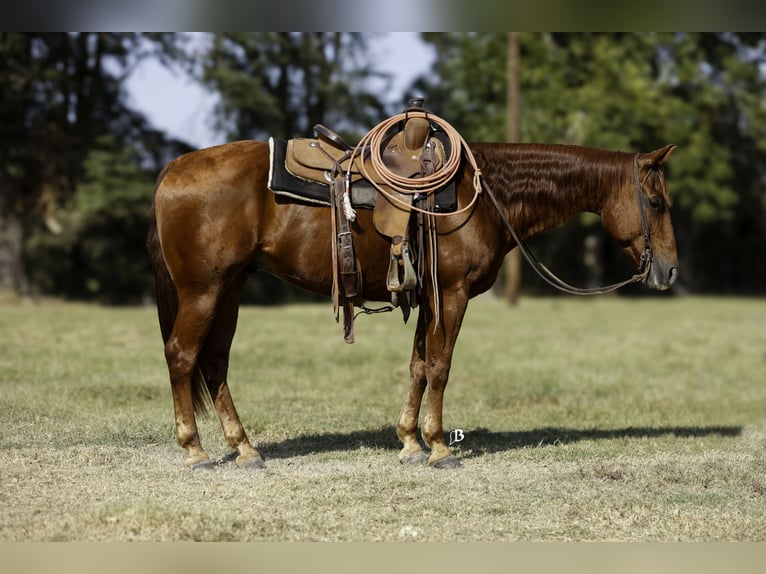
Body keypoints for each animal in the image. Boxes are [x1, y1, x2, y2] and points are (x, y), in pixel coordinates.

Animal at [147, 141, 680, 472]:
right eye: (657, 203)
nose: (671, 271)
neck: (481, 197)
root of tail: (173, 168)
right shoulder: (453, 294)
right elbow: (440, 366)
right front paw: (440, 447)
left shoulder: (428, 299)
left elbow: (419, 365)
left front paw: (408, 441)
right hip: (203, 291)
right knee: (181, 356)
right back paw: (195, 450)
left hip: (229, 289)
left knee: (214, 363)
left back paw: (244, 448)